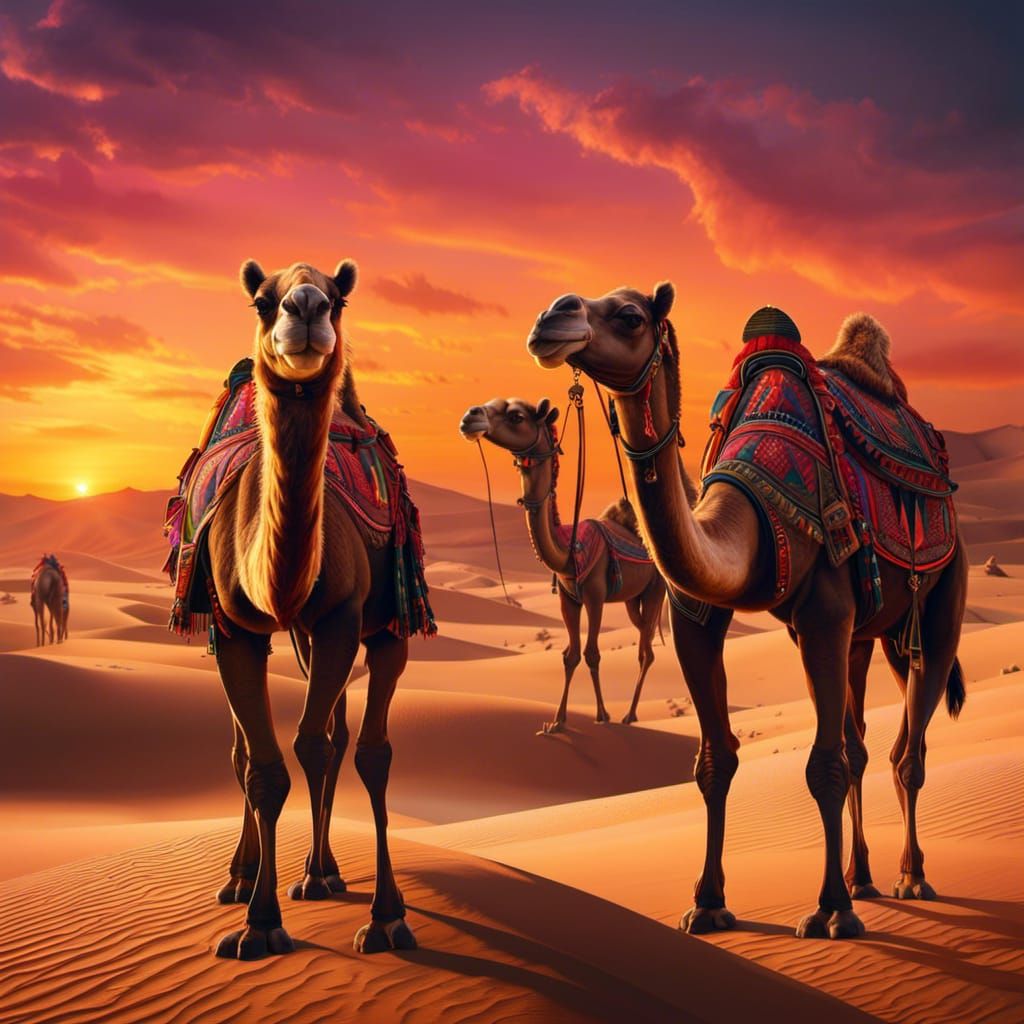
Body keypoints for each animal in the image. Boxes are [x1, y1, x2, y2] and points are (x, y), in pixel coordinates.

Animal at [202, 259, 418, 960]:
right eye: (261, 300)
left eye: (339, 299)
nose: (304, 307)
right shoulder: (232, 628)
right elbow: (263, 768)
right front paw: (258, 921)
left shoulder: (345, 619)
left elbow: (355, 752)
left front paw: (386, 917)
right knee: (263, 750)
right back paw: (250, 878)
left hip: (364, 627)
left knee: (344, 743)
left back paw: (323, 875)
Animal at [460, 397, 666, 729]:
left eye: (516, 416)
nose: (470, 417)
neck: (568, 551)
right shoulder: (569, 598)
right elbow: (570, 655)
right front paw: (557, 721)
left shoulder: (594, 595)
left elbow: (592, 653)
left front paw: (602, 715)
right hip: (631, 599)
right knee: (643, 637)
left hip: (655, 589)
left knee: (646, 651)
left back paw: (629, 714)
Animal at [528, 288, 966, 941]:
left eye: (630, 315)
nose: (551, 316)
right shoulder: (697, 615)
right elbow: (717, 760)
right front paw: (708, 903)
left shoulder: (824, 615)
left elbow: (823, 766)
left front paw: (831, 910)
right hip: (865, 637)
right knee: (863, 745)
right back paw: (863, 876)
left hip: (939, 597)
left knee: (907, 750)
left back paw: (910, 878)